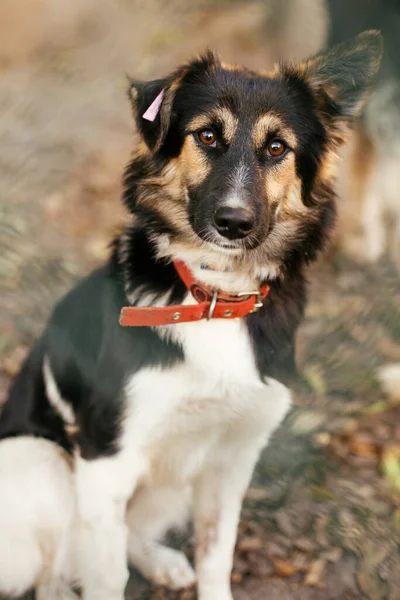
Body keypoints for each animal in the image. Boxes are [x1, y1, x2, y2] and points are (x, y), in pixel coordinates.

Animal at [0, 31, 382, 600]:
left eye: (277, 148)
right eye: (207, 136)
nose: (233, 222)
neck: (212, 297)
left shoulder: (232, 460)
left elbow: (215, 554)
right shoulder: (106, 460)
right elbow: (108, 577)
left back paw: (160, 562)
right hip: (42, 461)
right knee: (53, 574)